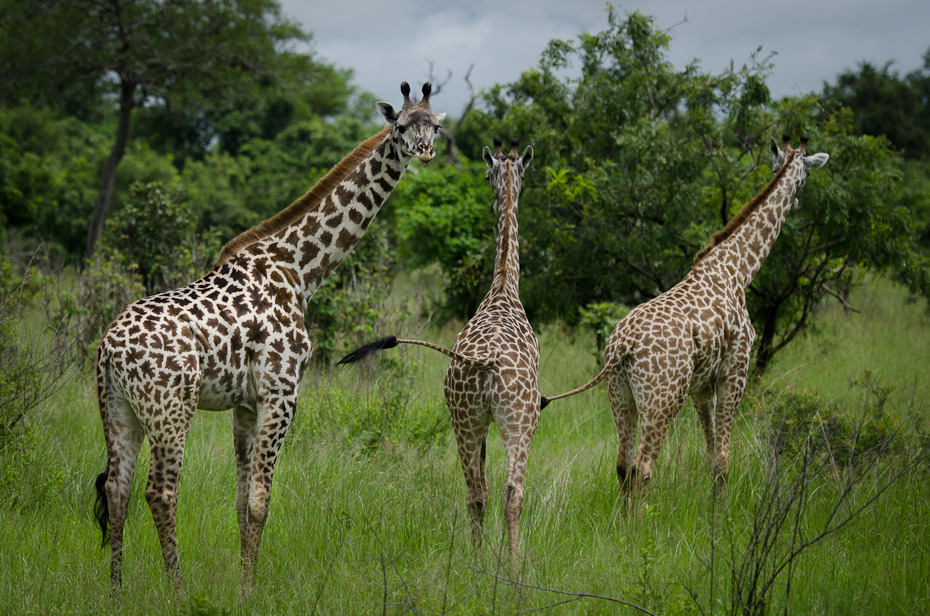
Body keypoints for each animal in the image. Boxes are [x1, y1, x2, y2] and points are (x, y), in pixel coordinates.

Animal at [89, 79, 442, 588]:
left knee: (117, 487)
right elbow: (260, 501)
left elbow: (240, 503)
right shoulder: (282, 391)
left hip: (118, 408)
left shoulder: (245, 402)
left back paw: (116, 590)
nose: (427, 150)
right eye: (400, 127)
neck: (299, 270)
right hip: (171, 408)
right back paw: (177, 591)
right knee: (160, 491)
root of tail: (107, 349)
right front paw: (250, 592)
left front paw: (244, 582)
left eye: (435, 126)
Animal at [338, 138, 536, 560]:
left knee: (478, 492)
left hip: (466, 419)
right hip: (517, 421)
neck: (503, 287)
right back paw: (511, 566)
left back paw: (478, 561)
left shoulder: (479, 422)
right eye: (487, 174)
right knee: (510, 492)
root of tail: (487, 361)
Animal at [544, 136, 828, 506]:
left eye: (776, 166)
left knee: (621, 465)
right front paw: (721, 516)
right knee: (642, 466)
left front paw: (712, 510)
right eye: (806, 175)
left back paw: (623, 521)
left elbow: (710, 458)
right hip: (662, 398)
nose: (796, 203)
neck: (738, 271)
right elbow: (723, 459)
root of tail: (623, 345)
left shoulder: (702, 386)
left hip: (620, 395)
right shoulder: (735, 372)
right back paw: (641, 520)